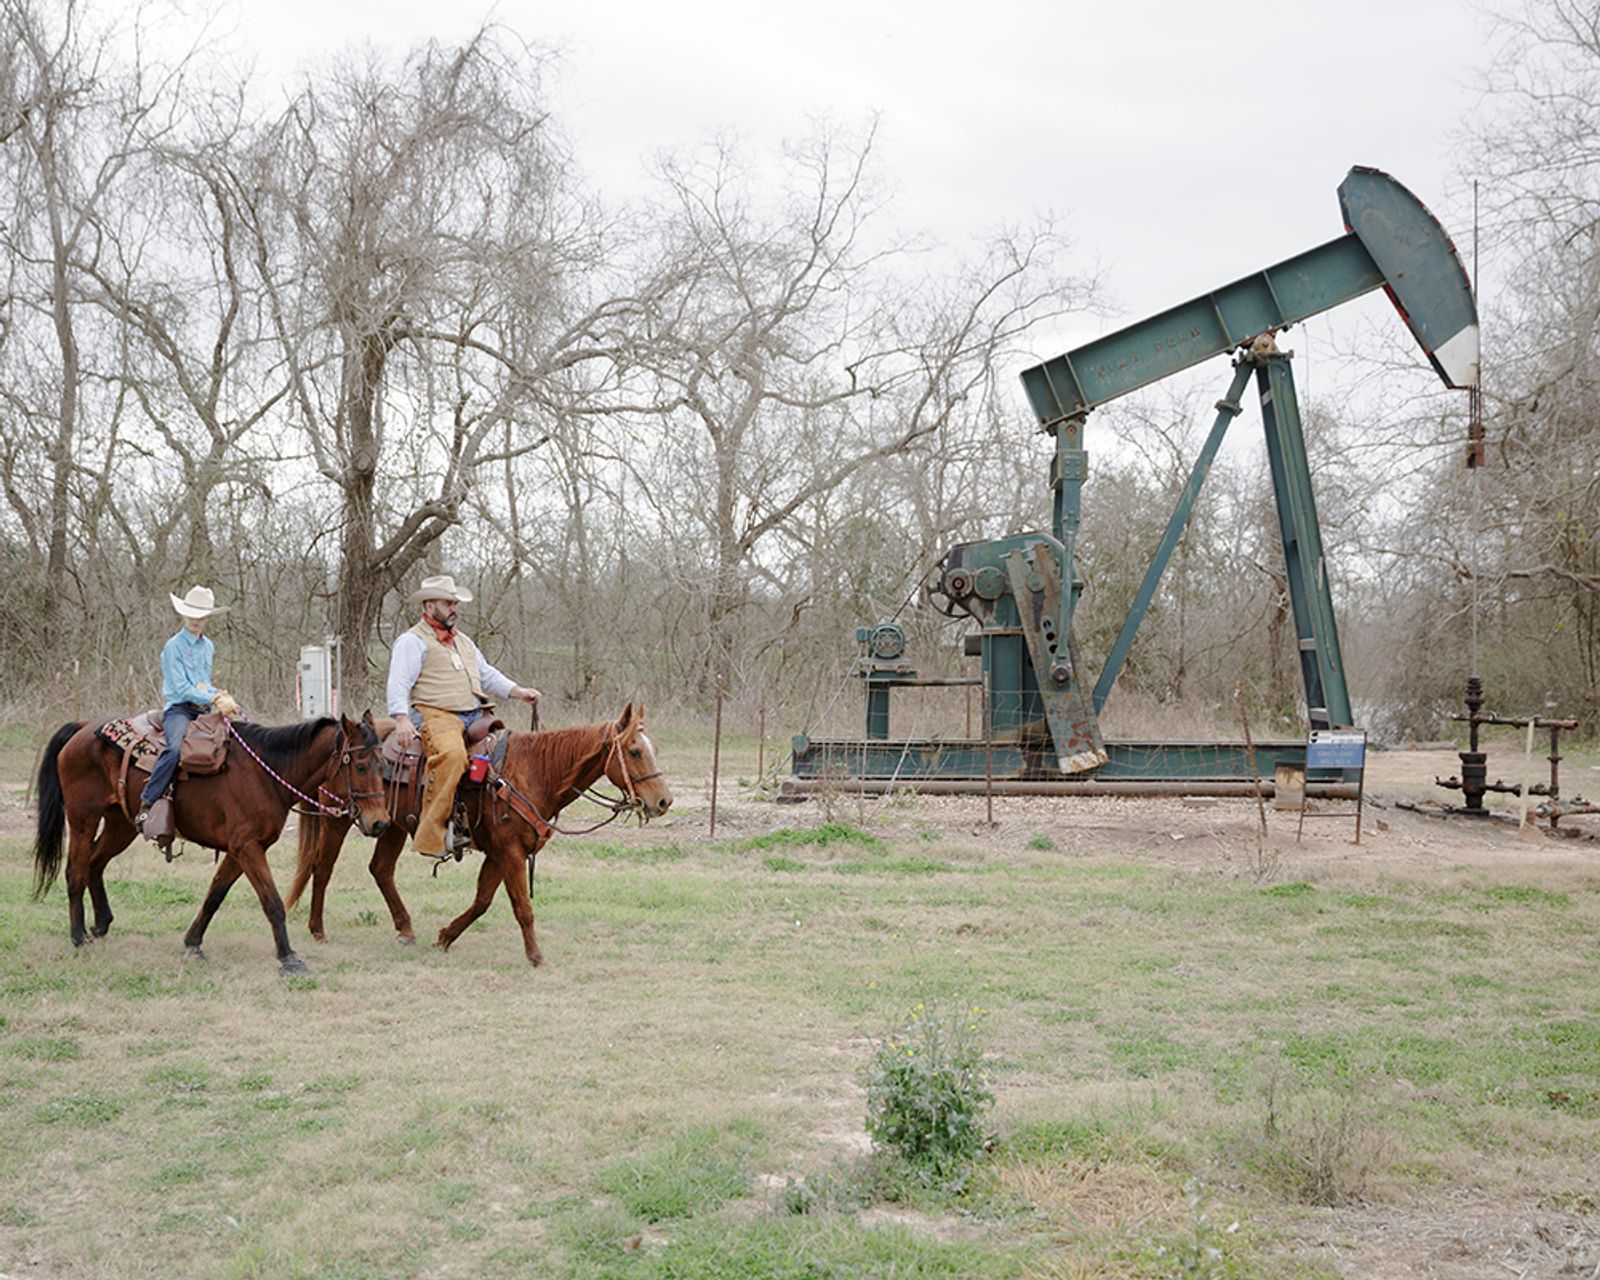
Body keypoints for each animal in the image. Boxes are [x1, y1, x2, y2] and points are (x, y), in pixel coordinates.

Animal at [32, 710, 388, 972]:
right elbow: (272, 902)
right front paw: (288, 956)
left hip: (121, 824)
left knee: (95, 864)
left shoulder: (240, 849)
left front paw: (193, 943)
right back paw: (78, 936)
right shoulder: (247, 847)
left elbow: (215, 894)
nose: (380, 822)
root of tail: (82, 728)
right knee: (75, 871)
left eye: (383, 764)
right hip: (83, 820)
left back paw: (101, 924)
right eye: (360, 766)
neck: (265, 774)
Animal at [291, 704, 672, 966]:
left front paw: (445, 937)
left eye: (655, 749)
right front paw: (535, 956)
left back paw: (405, 928)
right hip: (337, 818)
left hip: (390, 825)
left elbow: (483, 901)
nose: (664, 801)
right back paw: (317, 928)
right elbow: (522, 906)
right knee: (322, 868)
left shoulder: (499, 853)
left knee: (381, 869)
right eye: (634, 751)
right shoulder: (510, 852)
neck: (532, 772)